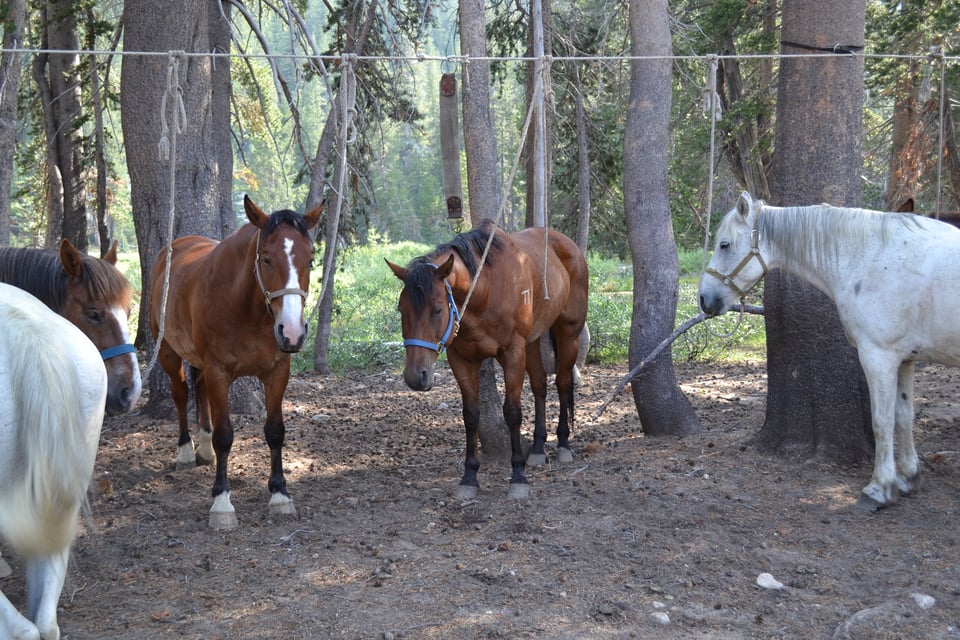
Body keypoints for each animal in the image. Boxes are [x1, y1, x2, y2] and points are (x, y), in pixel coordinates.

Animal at [149, 195, 322, 530]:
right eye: (266, 259)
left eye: (310, 260)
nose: (292, 332)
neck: (247, 308)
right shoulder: (219, 372)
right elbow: (225, 435)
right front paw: (221, 502)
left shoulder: (277, 372)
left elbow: (275, 430)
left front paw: (280, 494)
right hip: (166, 350)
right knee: (181, 394)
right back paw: (186, 452)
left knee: (199, 389)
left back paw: (203, 449)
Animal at [387, 220, 589, 499]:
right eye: (401, 310)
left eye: (437, 310)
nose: (416, 376)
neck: (485, 290)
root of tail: (570, 246)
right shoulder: (461, 359)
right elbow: (471, 415)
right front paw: (469, 477)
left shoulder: (513, 352)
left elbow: (512, 412)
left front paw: (518, 476)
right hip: (533, 340)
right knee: (539, 385)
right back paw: (538, 448)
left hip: (568, 333)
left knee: (562, 383)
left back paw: (563, 444)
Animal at [699, 190, 960, 511]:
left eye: (724, 244)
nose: (704, 299)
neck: (871, 258)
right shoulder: (905, 359)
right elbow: (903, 415)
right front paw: (908, 477)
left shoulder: (879, 357)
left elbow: (882, 421)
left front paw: (879, 488)